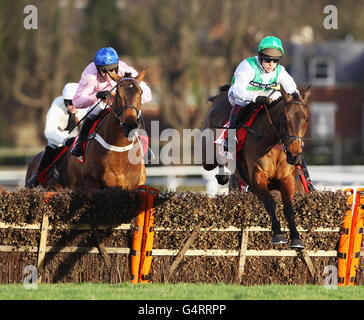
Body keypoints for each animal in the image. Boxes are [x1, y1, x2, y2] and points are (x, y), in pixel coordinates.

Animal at [202, 86, 310, 249]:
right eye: (284, 118)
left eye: (306, 118)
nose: (294, 155)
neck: (272, 142)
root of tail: (220, 96)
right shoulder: (258, 177)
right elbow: (270, 202)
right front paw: (278, 234)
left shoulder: (286, 179)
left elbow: (289, 207)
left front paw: (296, 238)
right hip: (208, 157)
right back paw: (223, 172)